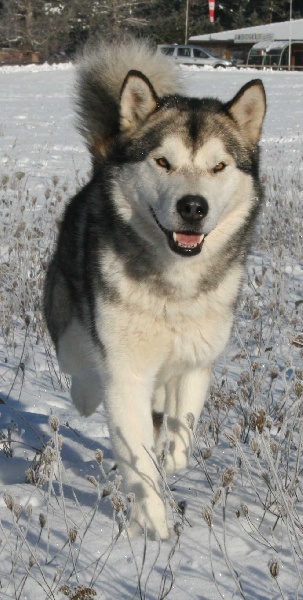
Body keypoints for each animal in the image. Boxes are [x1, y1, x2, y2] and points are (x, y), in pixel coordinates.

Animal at [44, 39, 268, 540]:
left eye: (218, 166)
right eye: (163, 161)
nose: (193, 206)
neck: (174, 288)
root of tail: (105, 162)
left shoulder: (198, 361)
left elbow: (181, 436)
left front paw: (172, 464)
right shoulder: (125, 371)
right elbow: (139, 459)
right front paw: (156, 527)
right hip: (68, 320)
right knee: (81, 372)